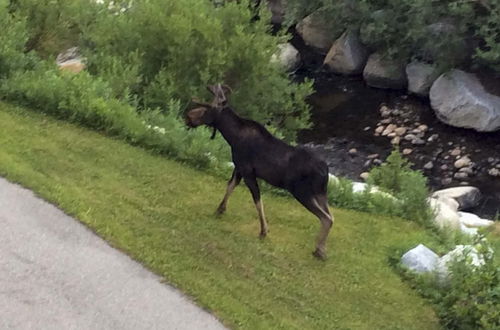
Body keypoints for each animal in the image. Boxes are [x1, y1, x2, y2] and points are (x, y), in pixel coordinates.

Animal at [186, 84, 334, 260]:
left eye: (207, 109)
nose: (188, 116)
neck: (231, 137)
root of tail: (325, 170)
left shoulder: (248, 171)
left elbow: (257, 199)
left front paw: (264, 231)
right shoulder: (239, 168)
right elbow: (230, 186)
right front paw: (220, 210)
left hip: (302, 191)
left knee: (326, 218)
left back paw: (319, 250)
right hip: (321, 192)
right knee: (331, 215)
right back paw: (322, 248)